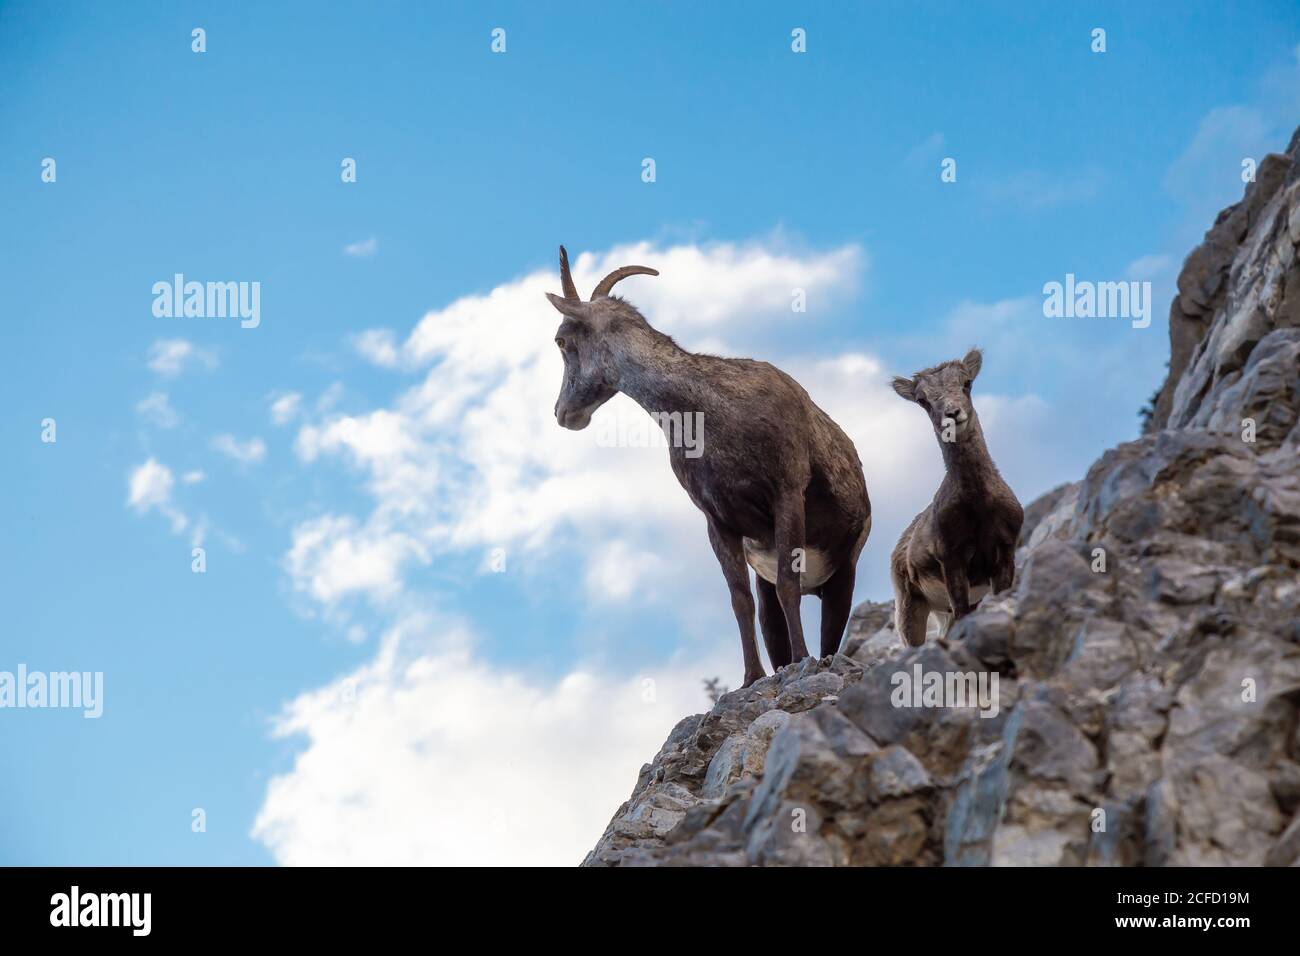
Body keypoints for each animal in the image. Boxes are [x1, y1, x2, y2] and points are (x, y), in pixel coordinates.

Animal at [545, 246, 872, 686]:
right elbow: (739, 599)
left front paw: (802, 660)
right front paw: (750, 677)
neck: (711, 411)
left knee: (828, 625)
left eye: (562, 340)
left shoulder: (786, 493)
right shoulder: (717, 520)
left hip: (844, 571)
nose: (563, 413)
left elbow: (789, 583)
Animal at [889, 349, 1023, 647]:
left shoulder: (1005, 553)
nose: (952, 413)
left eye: (967, 383)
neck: (979, 506)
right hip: (910, 604)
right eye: (922, 400)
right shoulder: (952, 560)